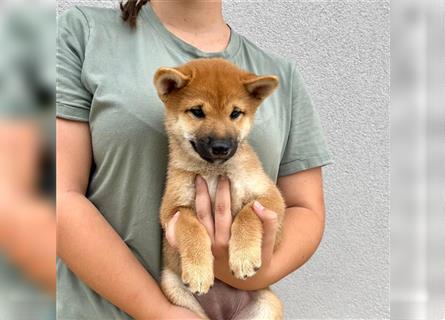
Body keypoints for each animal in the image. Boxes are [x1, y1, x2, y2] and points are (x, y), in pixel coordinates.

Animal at [153, 58, 284, 318]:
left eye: (235, 113)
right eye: (197, 111)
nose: (221, 147)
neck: (213, 173)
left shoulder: (270, 196)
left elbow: (247, 213)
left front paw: (243, 257)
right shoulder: (172, 210)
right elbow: (191, 227)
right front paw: (199, 271)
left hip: (268, 304)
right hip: (173, 288)